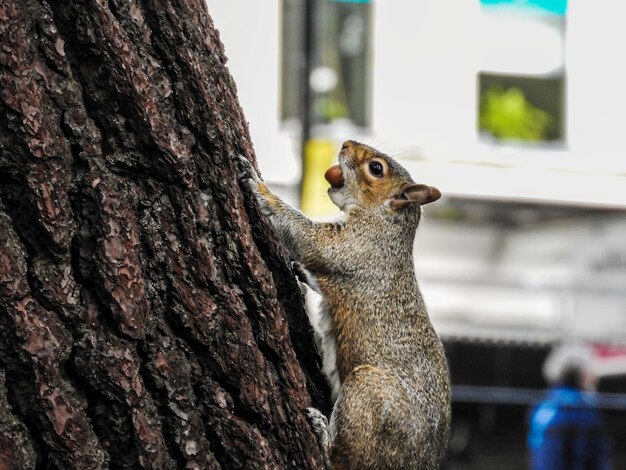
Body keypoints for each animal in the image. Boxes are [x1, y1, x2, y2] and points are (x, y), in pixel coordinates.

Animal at [239, 140, 448, 470]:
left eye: (376, 168)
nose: (346, 143)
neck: (385, 222)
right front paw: (302, 274)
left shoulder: (356, 246)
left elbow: (311, 241)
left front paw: (260, 187)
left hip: (368, 392)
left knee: (345, 461)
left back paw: (323, 438)